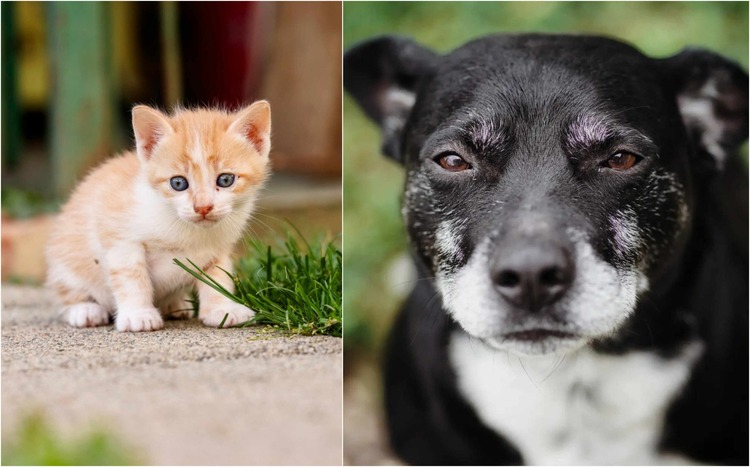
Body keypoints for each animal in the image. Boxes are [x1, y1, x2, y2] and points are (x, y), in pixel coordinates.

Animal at [45, 100, 272, 330]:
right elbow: (131, 277)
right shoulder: (120, 237)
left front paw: (222, 309)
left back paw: (176, 304)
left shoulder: (218, 249)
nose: (203, 207)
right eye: (178, 183)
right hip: (68, 262)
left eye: (225, 180)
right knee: (66, 291)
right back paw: (84, 310)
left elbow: (218, 277)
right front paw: (138, 314)